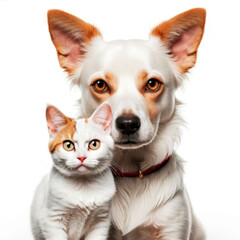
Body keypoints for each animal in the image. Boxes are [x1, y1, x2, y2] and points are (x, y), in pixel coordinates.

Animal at [30, 102, 115, 240]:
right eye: (68, 145)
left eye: (94, 144)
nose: (81, 157)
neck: (83, 186)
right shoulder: (52, 220)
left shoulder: (101, 221)